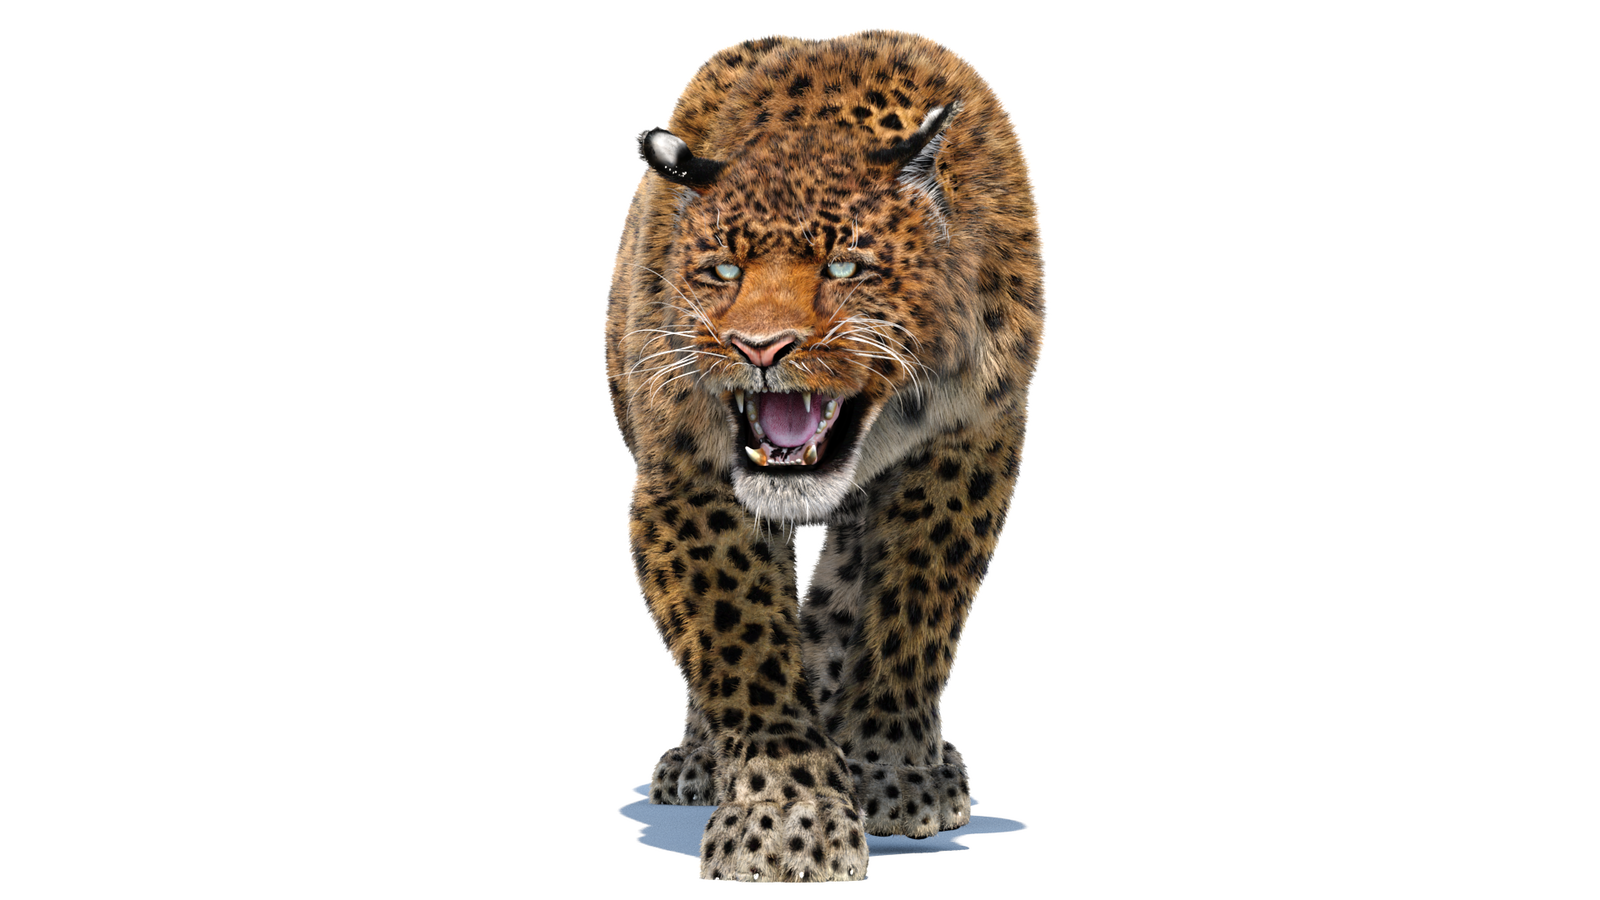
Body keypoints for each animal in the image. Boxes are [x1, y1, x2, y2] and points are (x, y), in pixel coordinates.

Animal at [599, 25, 1050, 882]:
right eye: (723, 270)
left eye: (844, 266)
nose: (759, 348)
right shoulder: (685, 476)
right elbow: (738, 639)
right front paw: (785, 817)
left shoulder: (971, 439)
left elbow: (917, 605)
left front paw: (892, 769)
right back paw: (701, 760)